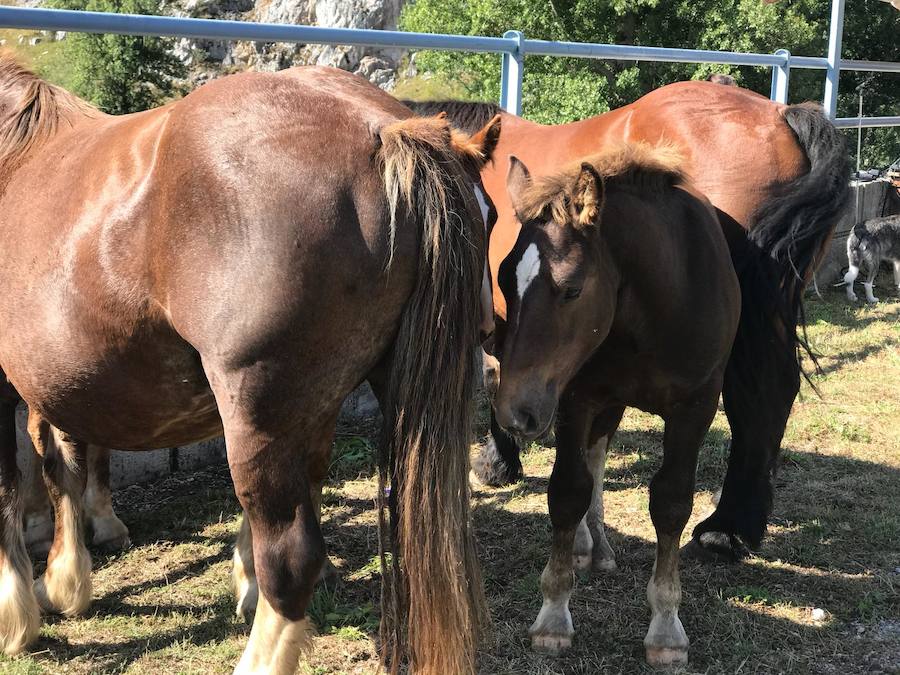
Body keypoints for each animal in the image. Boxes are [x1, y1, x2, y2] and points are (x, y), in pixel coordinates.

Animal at [0, 59, 500, 675]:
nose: (488, 323)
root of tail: (385, 129)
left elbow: (21, 482)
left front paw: (23, 612)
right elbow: (61, 462)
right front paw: (66, 579)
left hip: (258, 406)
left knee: (291, 555)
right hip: (321, 401)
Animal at [492, 147, 740, 664]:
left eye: (572, 288)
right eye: (504, 279)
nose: (515, 414)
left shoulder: (696, 407)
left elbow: (671, 502)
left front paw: (666, 627)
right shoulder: (576, 396)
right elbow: (567, 491)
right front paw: (553, 616)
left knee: (599, 454)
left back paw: (598, 545)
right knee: (593, 458)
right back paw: (588, 544)